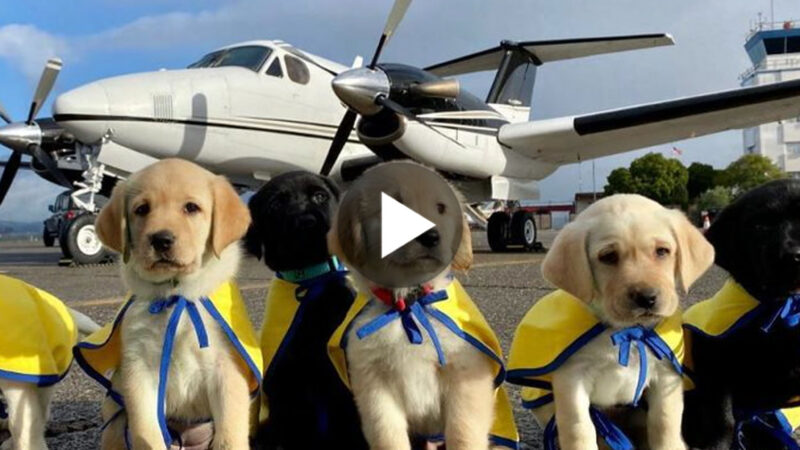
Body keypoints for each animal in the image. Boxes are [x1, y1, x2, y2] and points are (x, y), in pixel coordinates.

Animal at [80, 160, 260, 450]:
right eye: (141, 209)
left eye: (191, 208)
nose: (161, 239)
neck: (176, 293)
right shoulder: (139, 369)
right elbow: (147, 431)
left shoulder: (226, 368)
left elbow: (230, 434)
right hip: (115, 421)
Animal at [510, 194, 716, 450]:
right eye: (608, 256)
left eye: (662, 251)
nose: (647, 297)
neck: (625, 331)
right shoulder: (572, 379)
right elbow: (579, 428)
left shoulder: (666, 373)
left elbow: (664, 422)